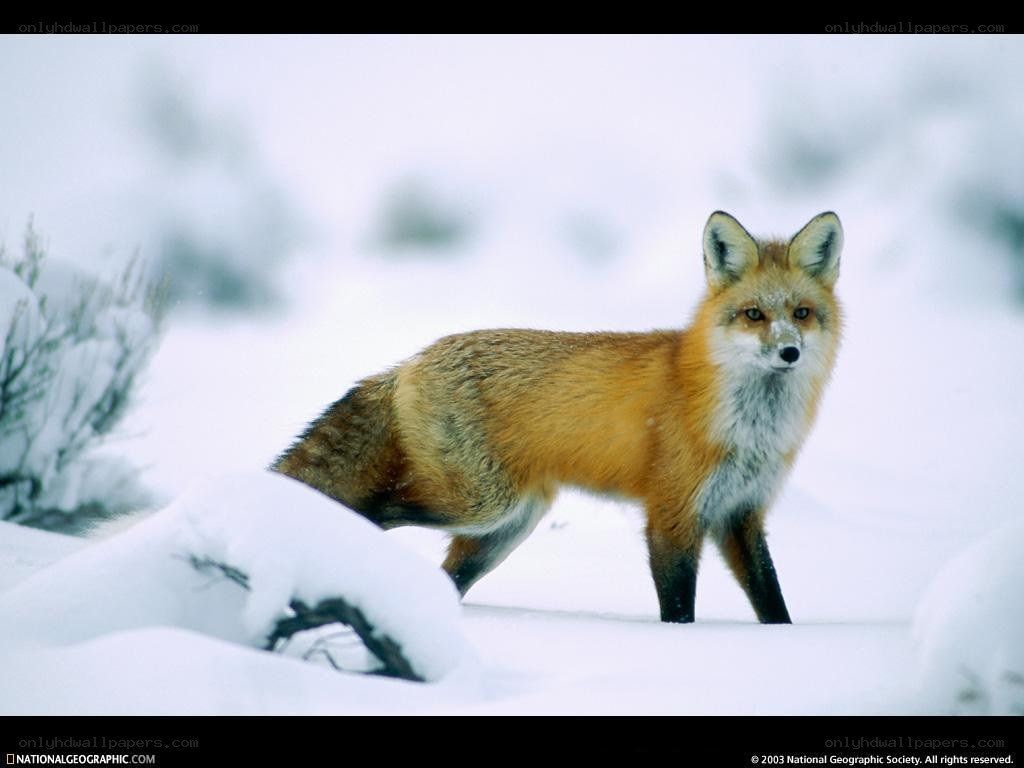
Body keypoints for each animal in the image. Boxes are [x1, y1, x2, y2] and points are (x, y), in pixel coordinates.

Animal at [272, 210, 843, 624]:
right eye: (754, 315)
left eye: (801, 314)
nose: (789, 351)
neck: (750, 430)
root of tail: (409, 361)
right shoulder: (671, 514)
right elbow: (679, 609)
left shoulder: (741, 514)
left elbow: (774, 607)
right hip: (479, 503)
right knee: (373, 510)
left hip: (506, 525)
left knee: (443, 574)